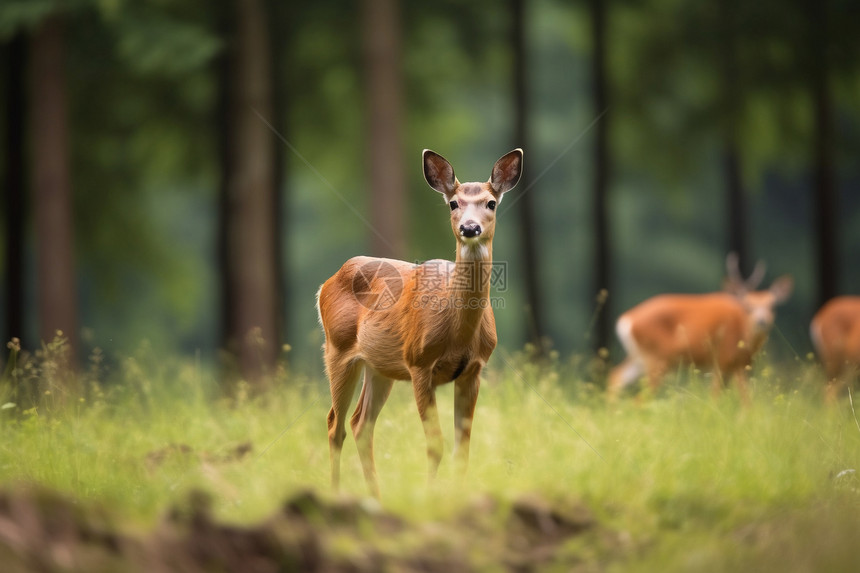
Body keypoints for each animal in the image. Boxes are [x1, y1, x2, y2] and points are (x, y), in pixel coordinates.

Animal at [312, 147, 520, 496]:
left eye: (491, 203)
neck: (459, 333)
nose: (470, 228)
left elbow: (462, 448)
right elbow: (435, 444)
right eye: (453, 203)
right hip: (337, 350)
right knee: (334, 424)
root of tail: (325, 284)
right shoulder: (419, 362)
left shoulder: (473, 370)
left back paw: (376, 496)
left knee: (360, 423)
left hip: (379, 366)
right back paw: (337, 492)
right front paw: (430, 496)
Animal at [604, 255, 792, 402]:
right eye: (748, 306)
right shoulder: (722, 360)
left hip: (641, 357)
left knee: (616, 377)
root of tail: (626, 319)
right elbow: (720, 397)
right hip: (657, 359)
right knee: (638, 398)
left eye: (773, 306)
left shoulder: (740, 365)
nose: (762, 321)